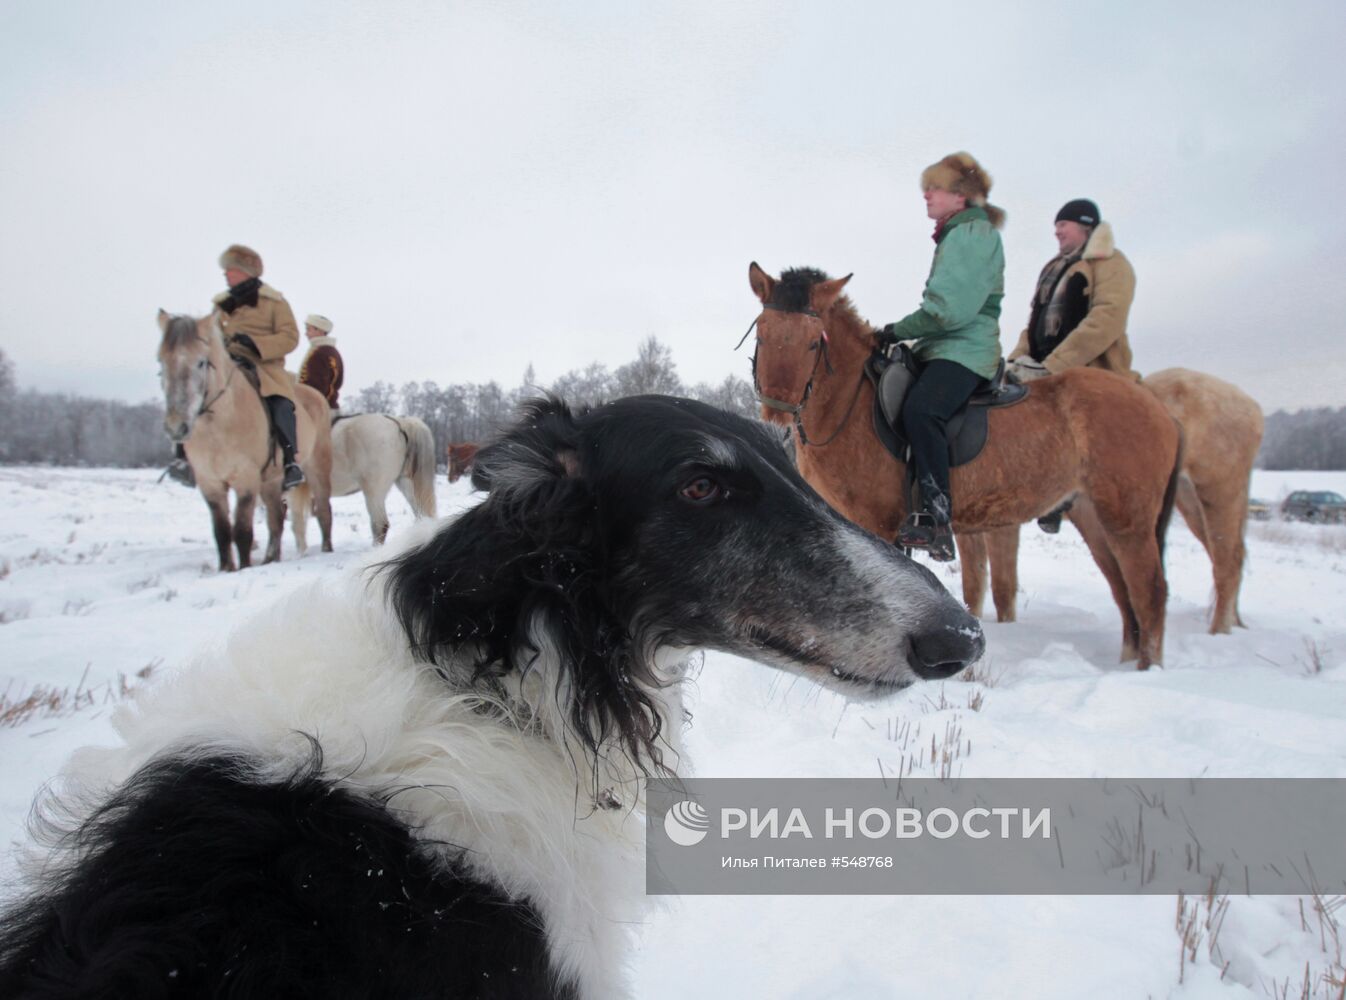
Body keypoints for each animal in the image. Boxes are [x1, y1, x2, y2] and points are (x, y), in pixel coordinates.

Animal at [156, 309, 333, 570]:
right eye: (161, 362)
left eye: (201, 362)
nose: (176, 427)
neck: (218, 426)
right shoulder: (210, 483)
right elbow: (221, 531)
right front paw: (226, 569)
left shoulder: (246, 479)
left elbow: (241, 531)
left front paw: (244, 567)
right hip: (272, 479)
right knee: (276, 518)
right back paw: (270, 559)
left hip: (316, 469)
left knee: (322, 512)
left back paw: (325, 550)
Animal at [753, 263, 1184, 672]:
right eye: (761, 333)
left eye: (814, 341)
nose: (776, 420)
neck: (851, 404)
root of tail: (1158, 406)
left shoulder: (879, 525)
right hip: (1093, 516)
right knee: (1122, 587)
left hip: (1128, 521)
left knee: (1149, 590)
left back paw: (1146, 669)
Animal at [963, 368, 1265, 632]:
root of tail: (1250, 405)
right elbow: (974, 586)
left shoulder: (1002, 525)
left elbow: (1001, 588)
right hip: (1189, 502)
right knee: (1226, 558)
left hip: (1217, 494)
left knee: (1226, 563)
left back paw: (1218, 630)